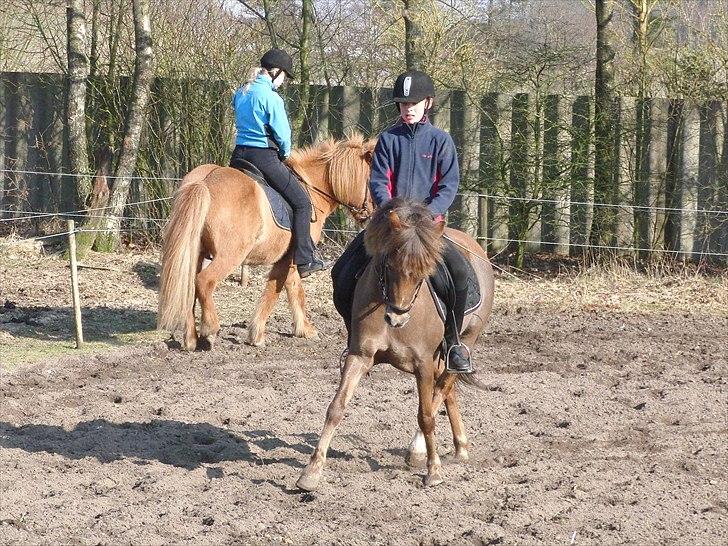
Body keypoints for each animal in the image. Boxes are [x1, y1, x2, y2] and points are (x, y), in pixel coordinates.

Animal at [159, 134, 376, 350]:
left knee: (189, 288)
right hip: (230, 255)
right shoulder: (291, 259)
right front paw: (258, 335)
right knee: (204, 282)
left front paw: (303, 330)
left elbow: (292, 289)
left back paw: (190, 339)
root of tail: (204, 181)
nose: (371, 215)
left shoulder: (288, 260)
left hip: (196, 253)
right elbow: (278, 291)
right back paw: (210, 330)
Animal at [296, 198, 494, 486]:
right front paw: (311, 473)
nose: (396, 317)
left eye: (425, 271)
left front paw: (433, 470)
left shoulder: (422, 362)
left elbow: (426, 415)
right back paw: (460, 448)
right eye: (389, 265)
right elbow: (336, 407)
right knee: (447, 391)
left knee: (444, 386)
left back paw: (420, 449)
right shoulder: (360, 356)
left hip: (466, 339)